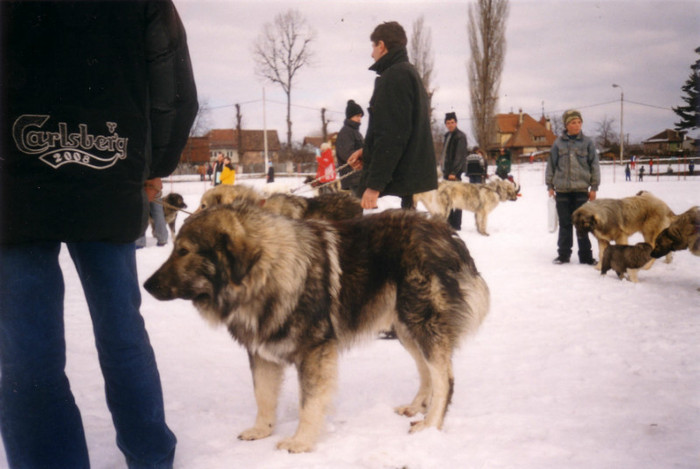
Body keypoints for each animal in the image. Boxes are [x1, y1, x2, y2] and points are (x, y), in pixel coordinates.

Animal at [145, 203, 490, 452]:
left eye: (184, 251)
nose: (147, 285)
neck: (266, 274)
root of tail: (447, 234)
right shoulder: (261, 352)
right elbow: (263, 395)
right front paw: (262, 430)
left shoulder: (314, 351)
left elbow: (308, 402)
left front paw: (300, 441)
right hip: (405, 327)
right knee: (426, 370)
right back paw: (417, 406)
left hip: (421, 322)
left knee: (444, 378)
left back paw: (431, 424)